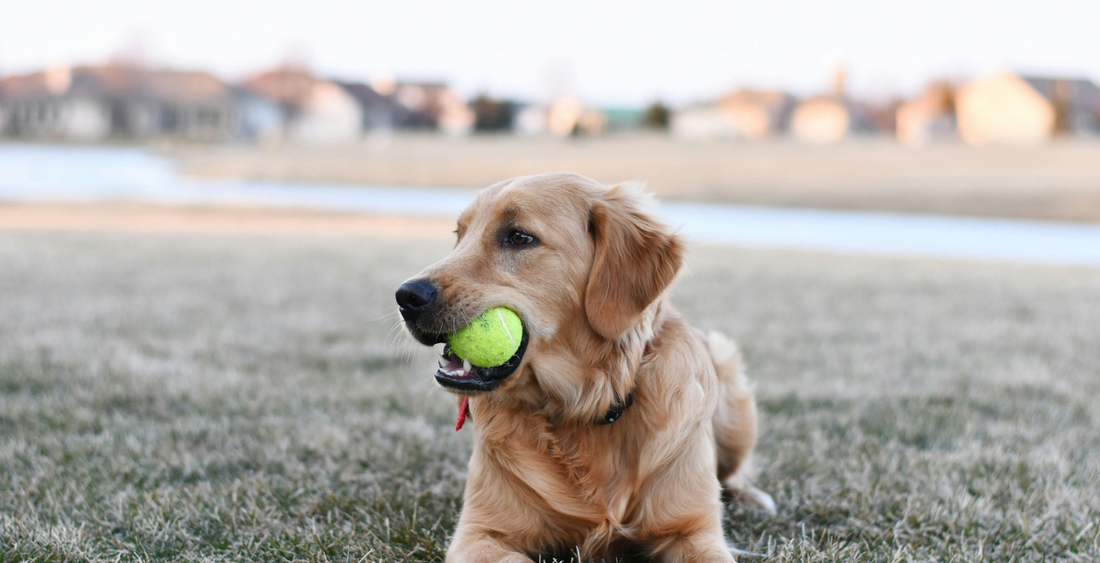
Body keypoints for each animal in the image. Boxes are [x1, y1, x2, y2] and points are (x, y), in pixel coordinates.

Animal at [398, 173, 774, 560]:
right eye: (459, 235)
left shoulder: (693, 531)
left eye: (518, 237)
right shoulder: (479, 533)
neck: (584, 406)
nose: (406, 296)